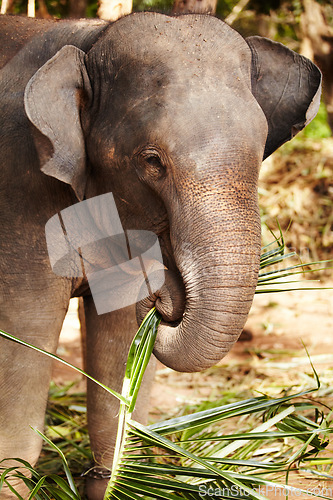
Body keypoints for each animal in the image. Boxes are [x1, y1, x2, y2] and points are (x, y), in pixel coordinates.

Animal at [0, 9, 320, 498]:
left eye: (260, 151)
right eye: (152, 161)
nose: (164, 296)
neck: (90, 39)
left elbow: (119, 348)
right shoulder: (18, 196)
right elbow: (26, 332)